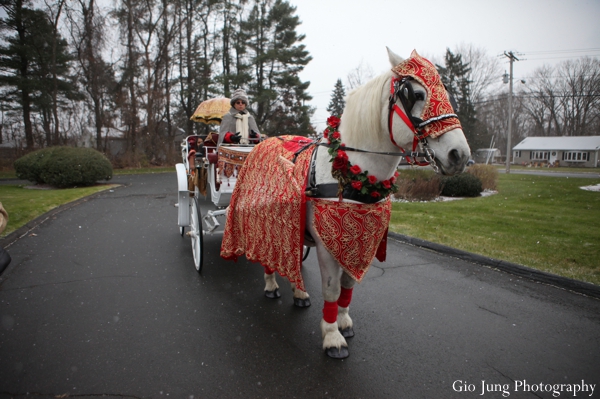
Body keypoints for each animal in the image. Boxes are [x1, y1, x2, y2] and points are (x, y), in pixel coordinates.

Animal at [220, 47, 468, 360]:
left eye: (445, 91)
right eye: (415, 93)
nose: (459, 154)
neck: (354, 171)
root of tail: (263, 142)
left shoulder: (360, 240)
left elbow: (347, 287)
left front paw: (344, 321)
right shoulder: (328, 244)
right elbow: (331, 290)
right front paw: (331, 336)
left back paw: (299, 292)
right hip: (266, 222)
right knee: (269, 254)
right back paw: (271, 285)